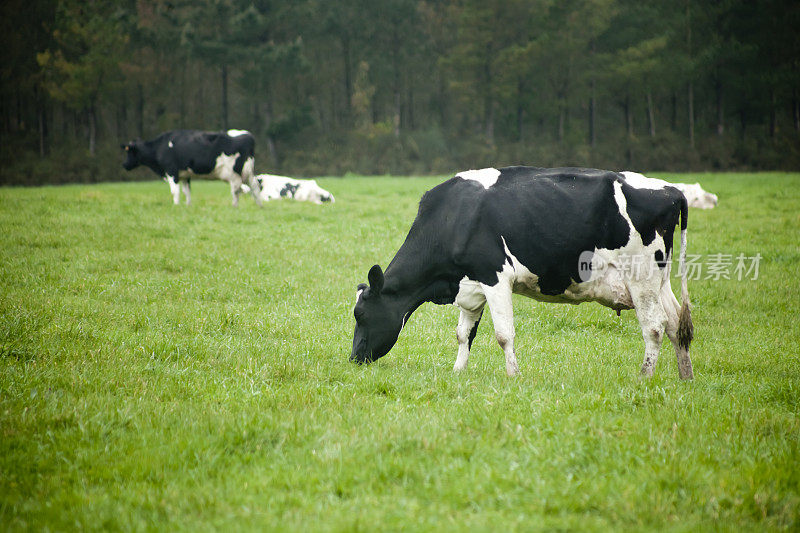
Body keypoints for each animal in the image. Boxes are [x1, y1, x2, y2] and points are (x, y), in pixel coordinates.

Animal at [120, 128, 262, 207]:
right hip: (247, 172)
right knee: (254, 187)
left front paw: (176, 205)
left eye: (129, 151)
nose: (124, 165)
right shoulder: (184, 175)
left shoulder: (171, 171)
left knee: (236, 190)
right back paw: (259, 206)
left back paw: (235, 206)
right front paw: (188, 205)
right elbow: (186, 191)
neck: (160, 147)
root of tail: (249, 136)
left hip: (234, 173)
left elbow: (175, 191)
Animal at [350, 166, 692, 378]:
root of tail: (671, 190)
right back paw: (685, 377)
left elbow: (503, 333)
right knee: (676, 323)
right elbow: (463, 333)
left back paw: (644, 377)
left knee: (655, 327)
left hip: (641, 275)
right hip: (660, 281)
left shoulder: (495, 276)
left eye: (361, 315)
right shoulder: (471, 284)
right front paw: (458, 372)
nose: (354, 358)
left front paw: (513, 375)